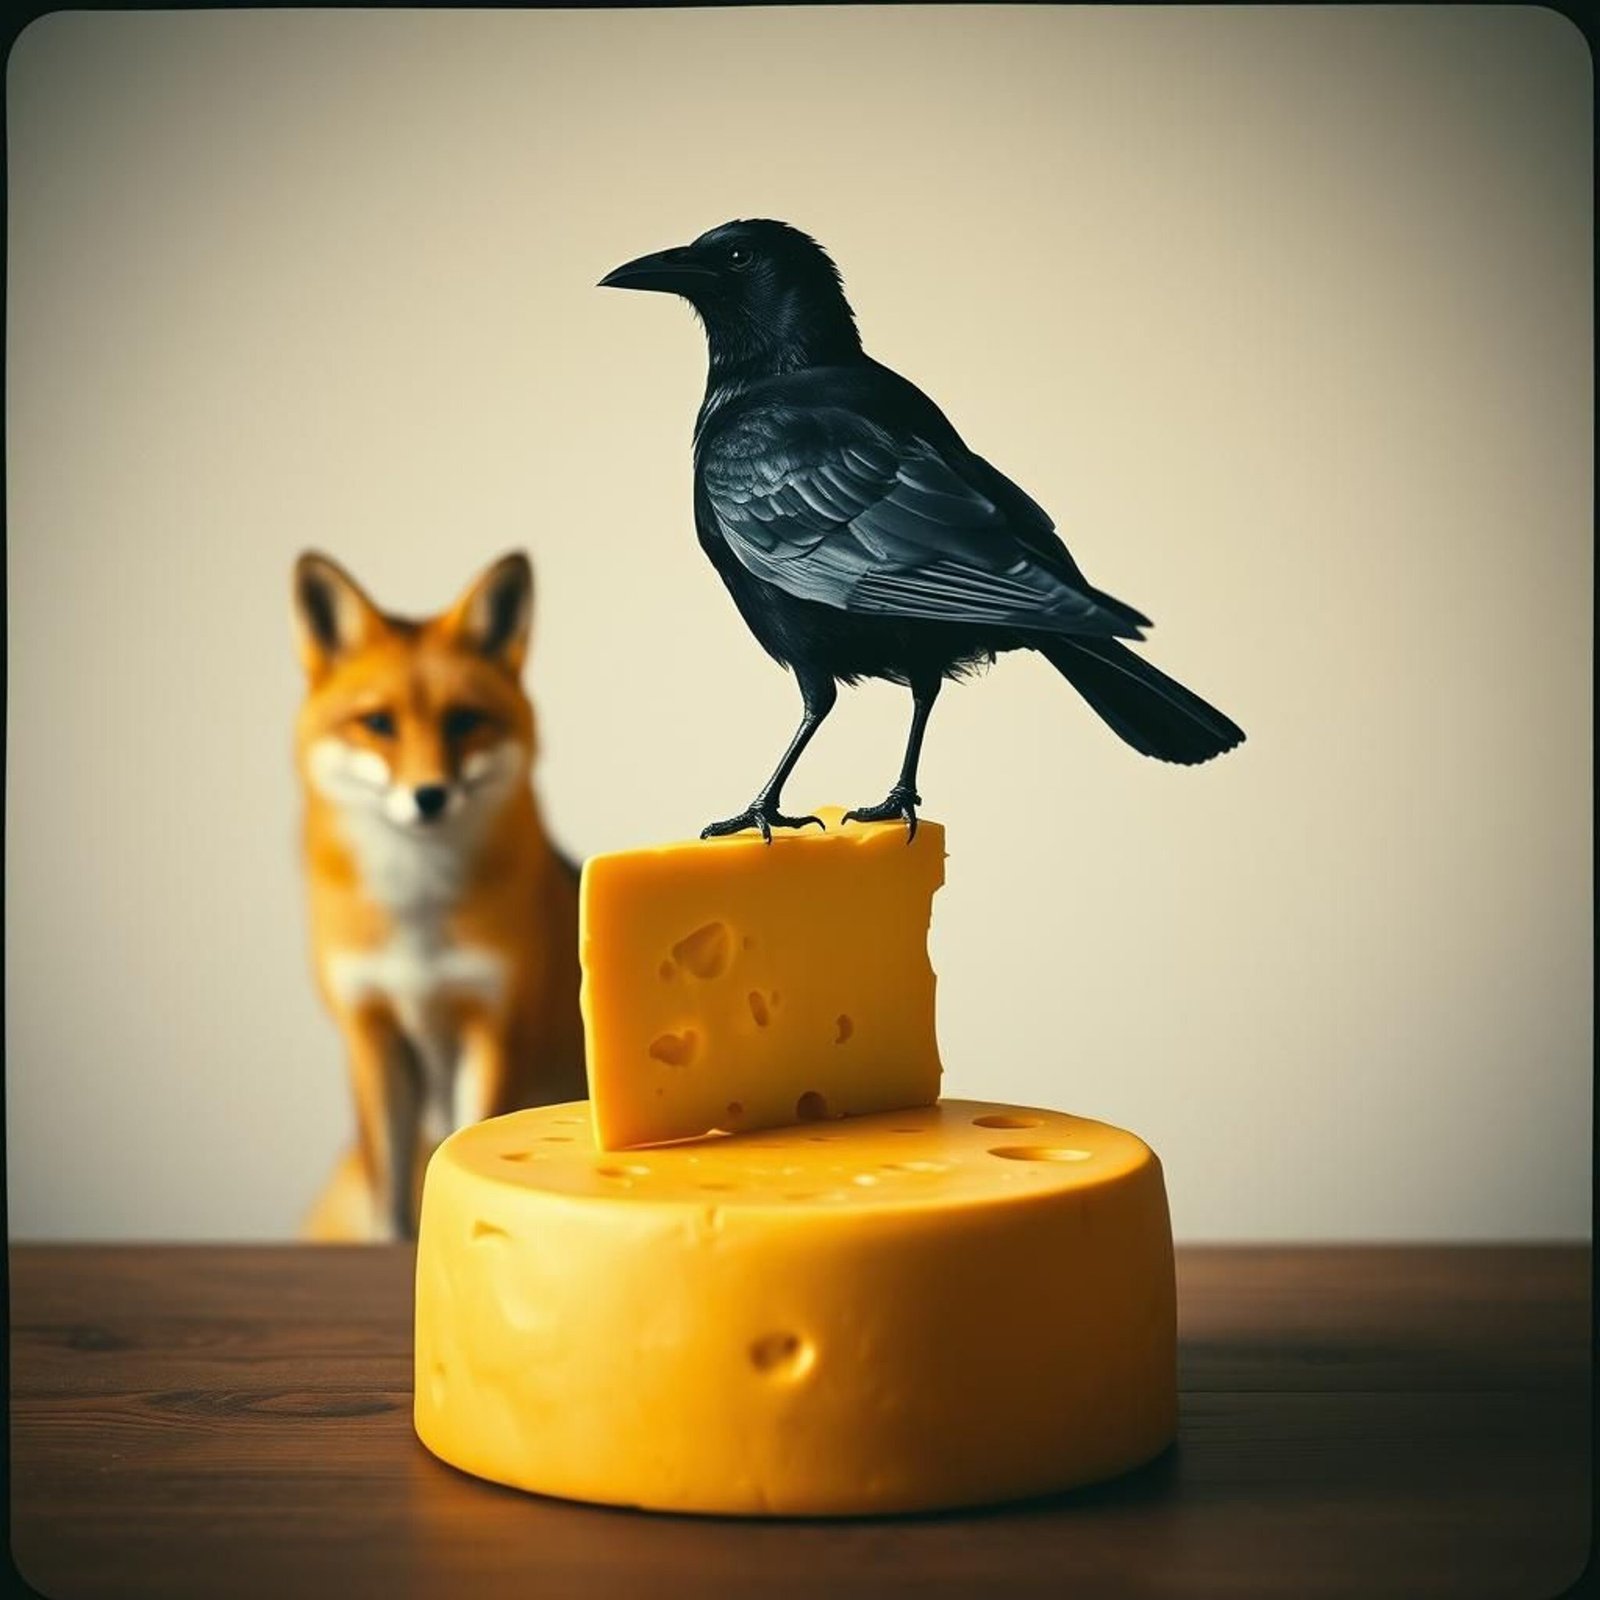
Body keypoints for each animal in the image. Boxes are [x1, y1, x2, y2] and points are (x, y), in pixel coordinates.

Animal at [292, 549, 585, 1242]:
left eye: (464, 721)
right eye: (378, 724)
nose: (429, 796)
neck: (417, 920)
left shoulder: (492, 1020)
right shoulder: (370, 1030)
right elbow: (392, 1202)